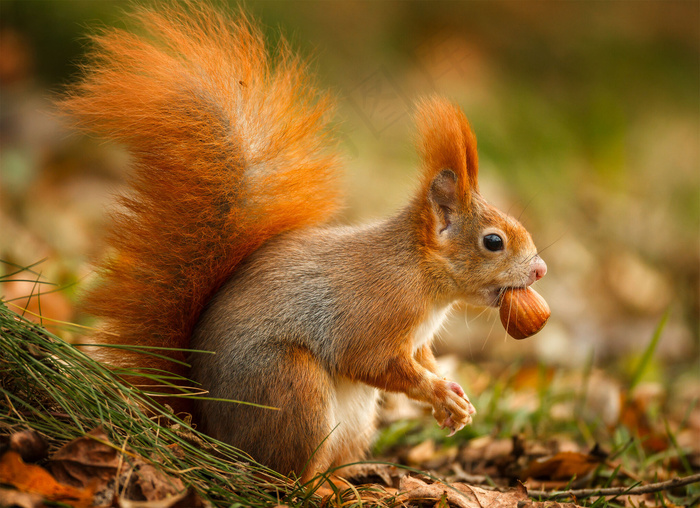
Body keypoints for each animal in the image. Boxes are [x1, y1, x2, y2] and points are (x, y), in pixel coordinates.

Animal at [61, 2, 548, 480]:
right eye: (493, 242)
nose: (540, 269)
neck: (418, 272)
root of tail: (208, 428)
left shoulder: (416, 338)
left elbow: (422, 357)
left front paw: (457, 404)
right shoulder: (374, 311)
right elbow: (371, 361)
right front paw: (438, 392)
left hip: (353, 417)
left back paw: (351, 483)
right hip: (291, 389)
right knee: (288, 475)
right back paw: (320, 489)